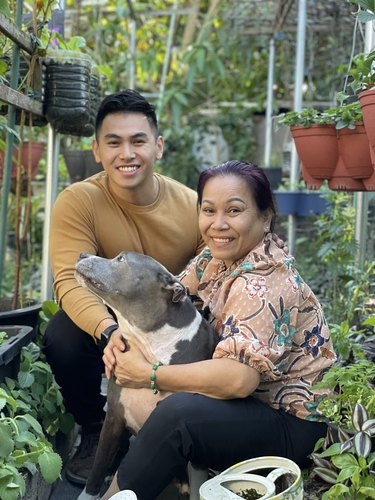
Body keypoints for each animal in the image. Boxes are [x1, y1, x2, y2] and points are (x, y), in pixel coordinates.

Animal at [74, 252, 219, 500]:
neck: (151, 347)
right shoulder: (114, 417)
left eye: (121, 259)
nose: (82, 254)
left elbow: (198, 486)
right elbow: (99, 464)